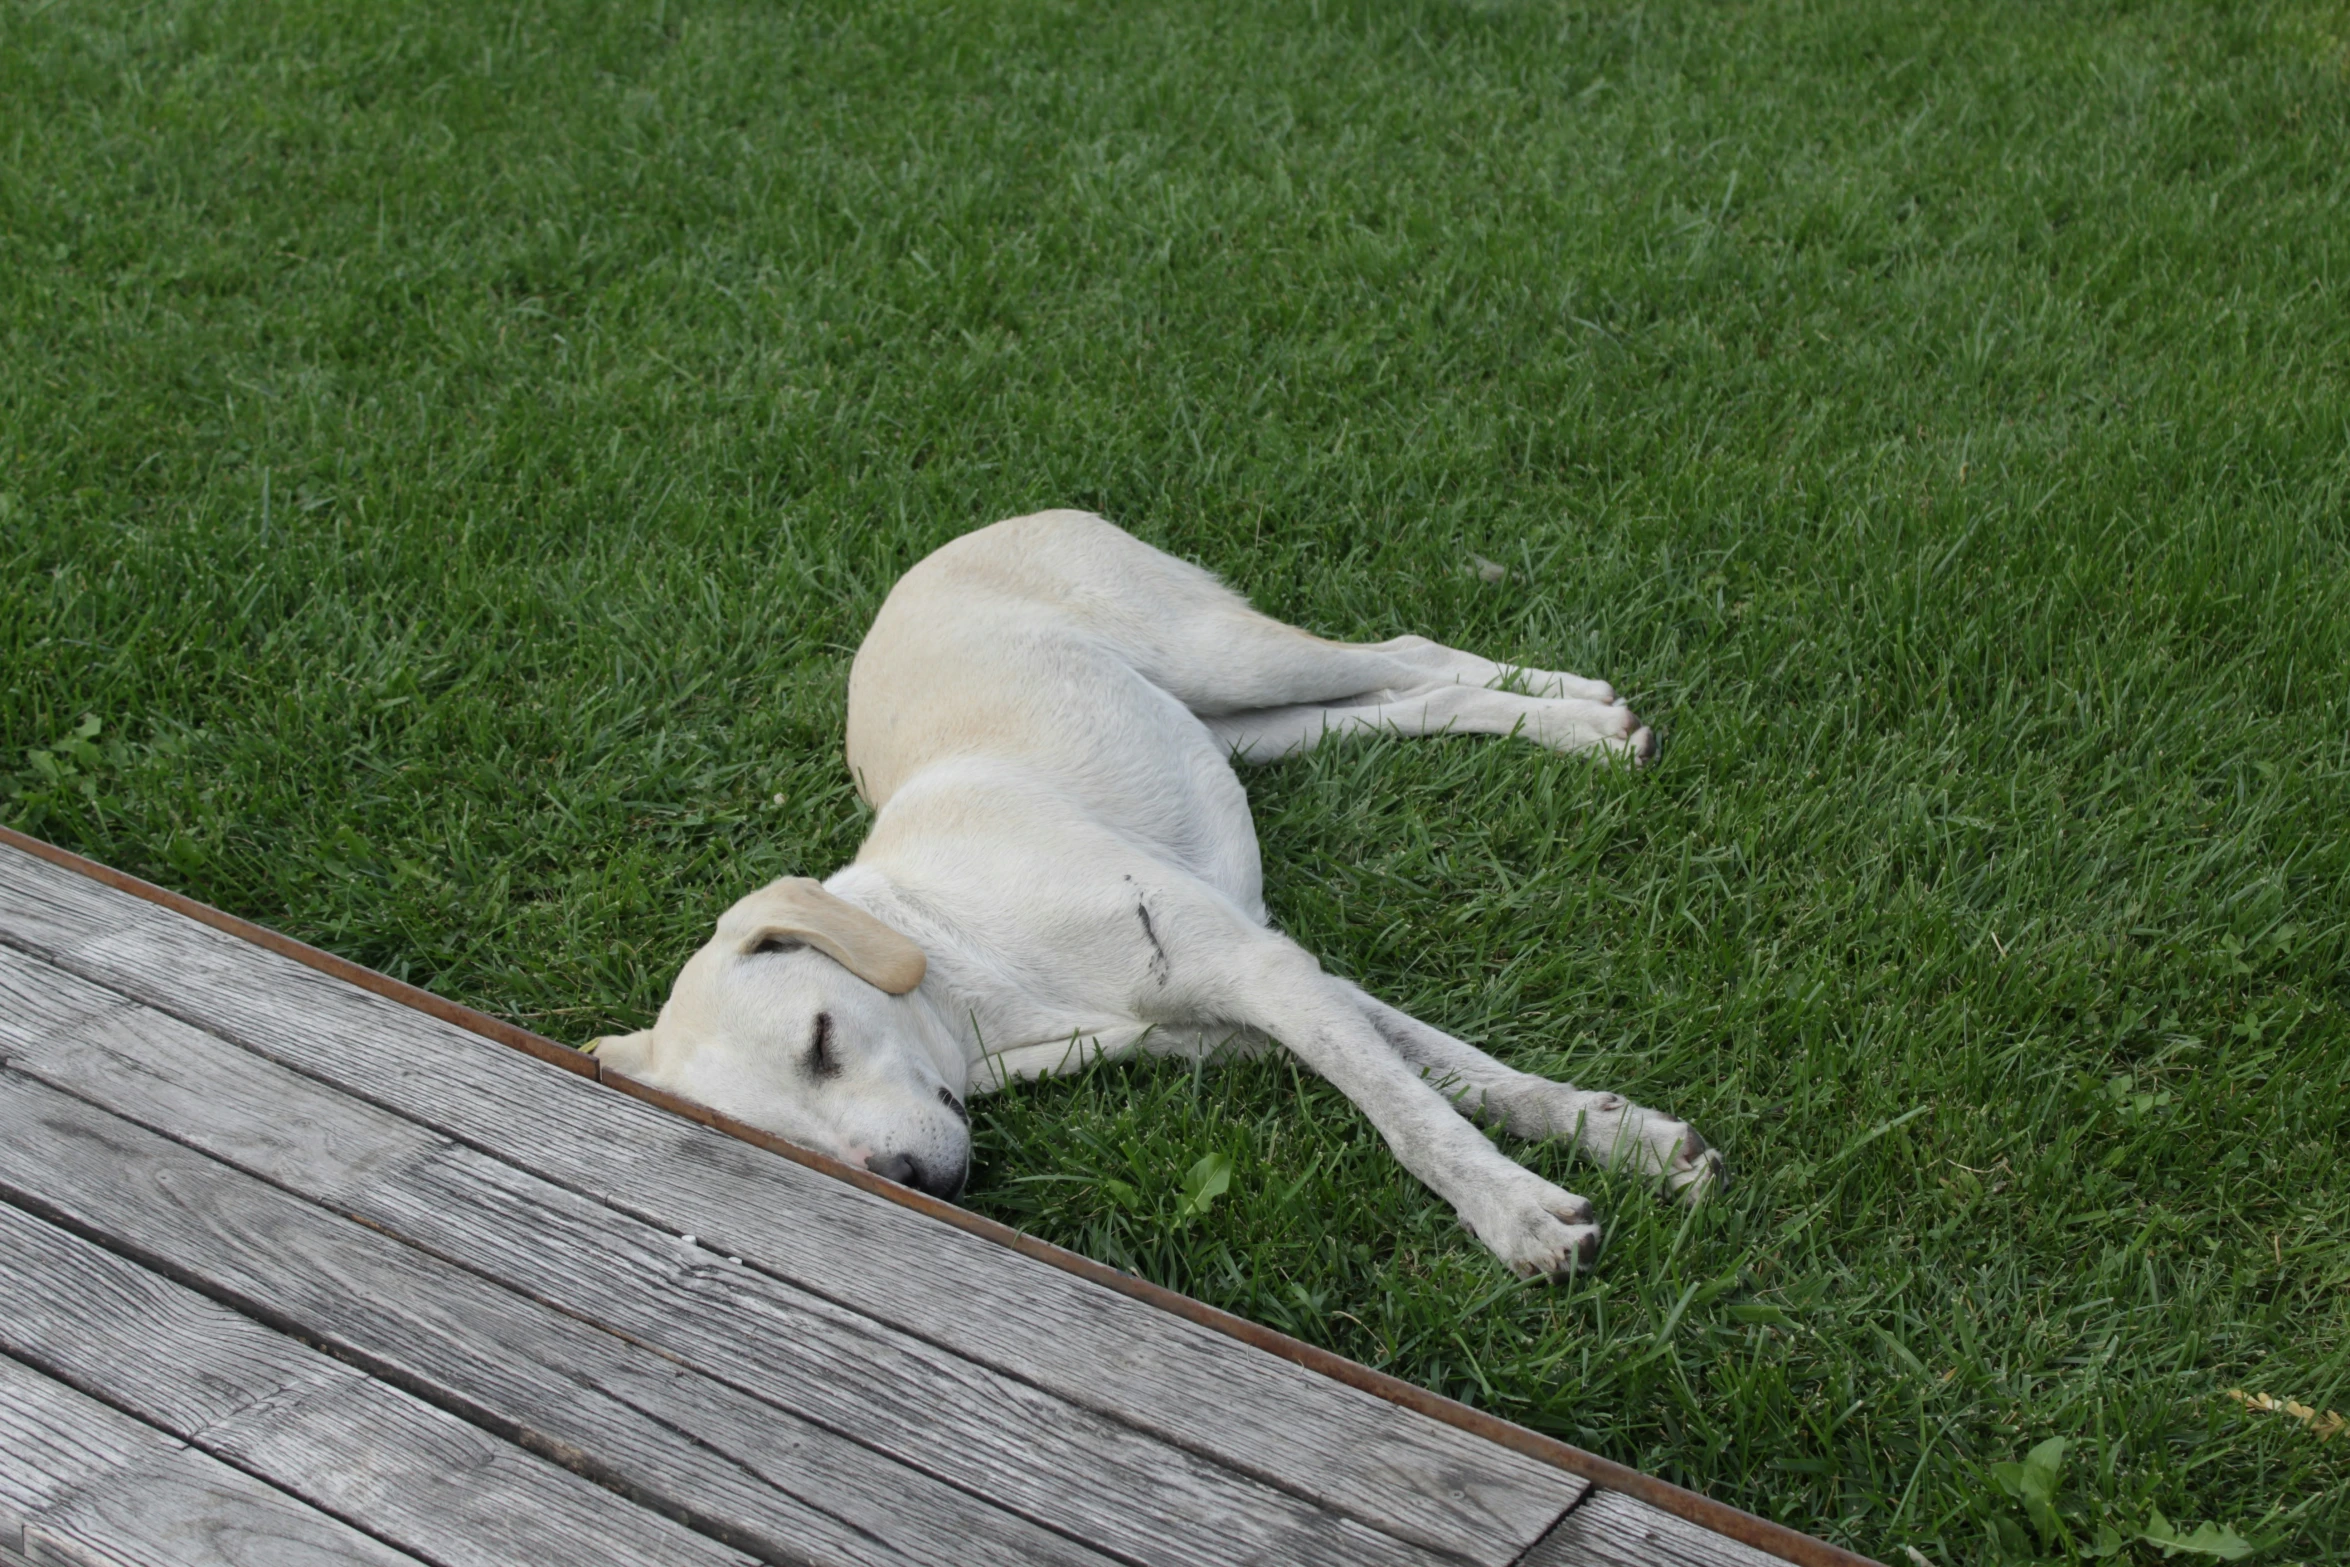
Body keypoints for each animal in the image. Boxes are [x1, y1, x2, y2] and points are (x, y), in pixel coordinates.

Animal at [596, 514, 1720, 1278]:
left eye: (822, 1041)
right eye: (782, 1144)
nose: (908, 1181)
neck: (961, 958)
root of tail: (986, 523)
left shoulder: (1255, 966)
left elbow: (1414, 1115)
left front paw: (1516, 1210)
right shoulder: (1264, 998)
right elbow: (1457, 1075)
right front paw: (1619, 1137)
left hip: (1221, 653)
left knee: (1408, 651)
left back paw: (1584, 715)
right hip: (1241, 725)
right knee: (1397, 700)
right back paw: (1573, 723)